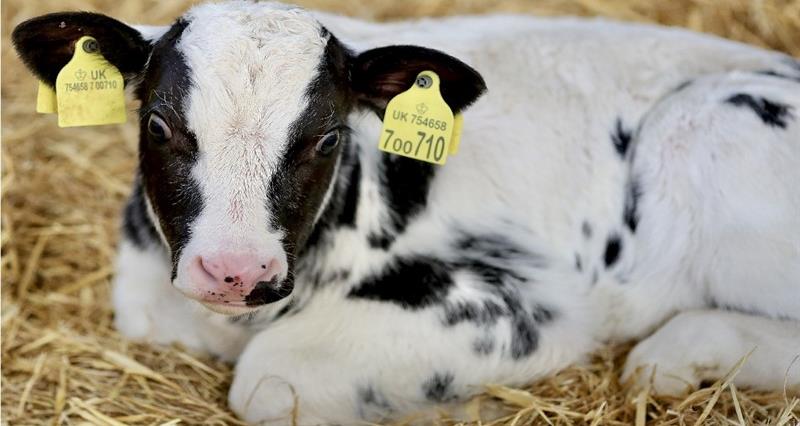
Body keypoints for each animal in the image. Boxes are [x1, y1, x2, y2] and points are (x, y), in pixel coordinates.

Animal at [12, 1, 800, 424]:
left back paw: (678, 355)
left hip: (705, 128)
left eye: (328, 137)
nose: (235, 270)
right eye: (157, 124)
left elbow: (271, 380)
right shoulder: (146, 296)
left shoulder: (513, 307)